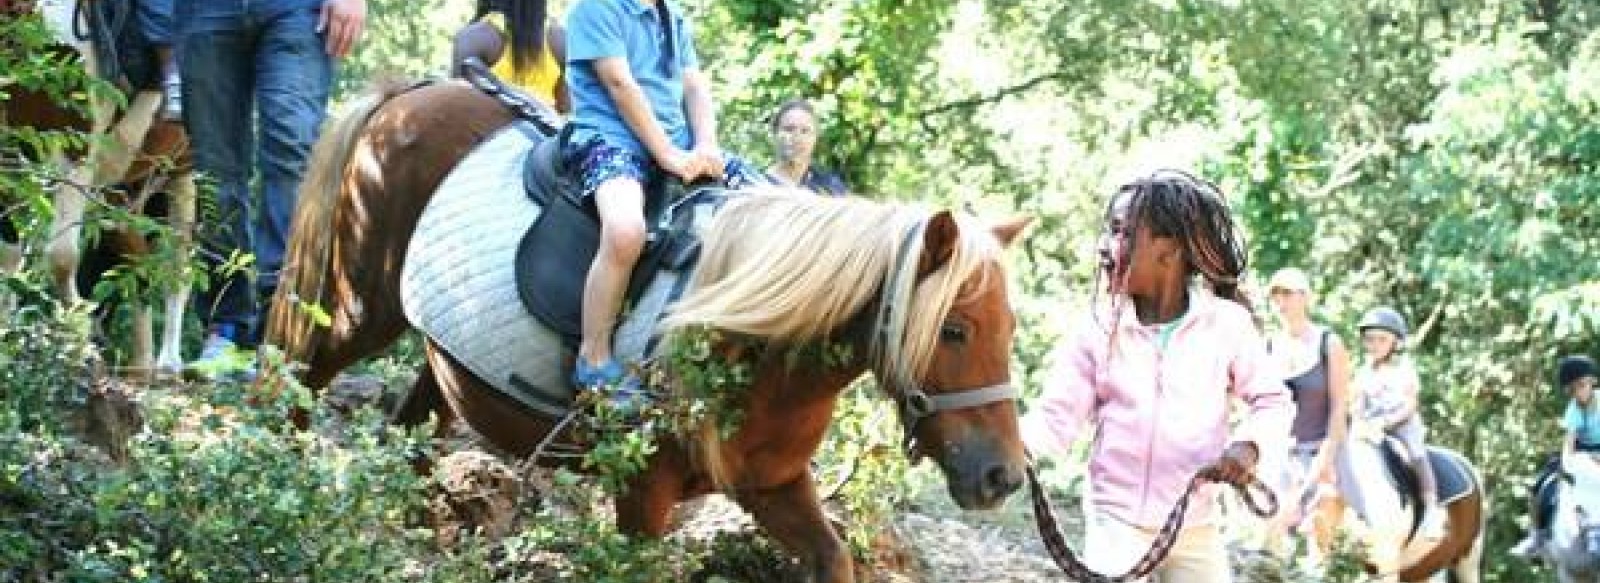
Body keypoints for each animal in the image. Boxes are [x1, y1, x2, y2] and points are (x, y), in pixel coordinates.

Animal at [0, 0, 194, 373]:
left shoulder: (78, 145)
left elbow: (61, 257)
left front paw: (77, 340)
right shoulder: (9, 150)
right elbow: (8, 254)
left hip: (184, 174)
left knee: (178, 265)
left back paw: (168, 362)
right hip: (124, 186)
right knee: (134, 260)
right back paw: (141, 363)